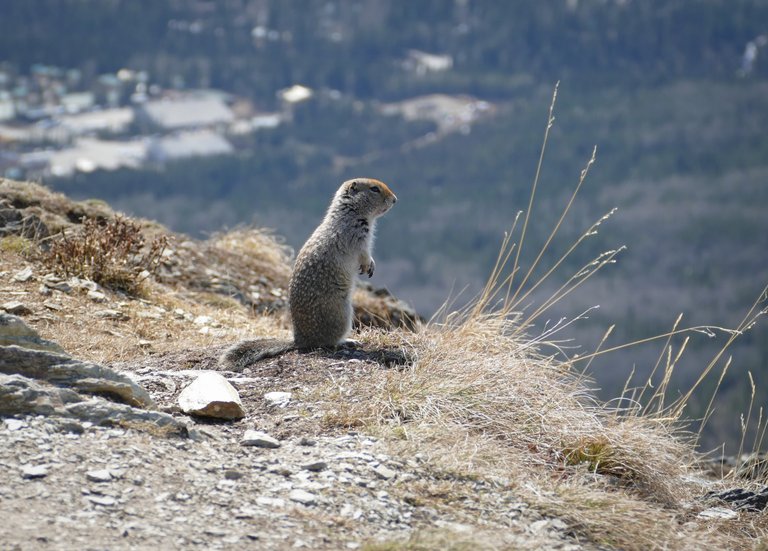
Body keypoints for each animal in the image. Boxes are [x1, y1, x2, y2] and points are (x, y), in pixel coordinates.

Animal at [218, 179, 392, 374]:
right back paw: (347, 341)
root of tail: (299, 340)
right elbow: (364, 254)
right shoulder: (358, 237)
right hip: (342, 313)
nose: (395, 199)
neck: (349, 214)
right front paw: (368, 266)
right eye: (374, 189)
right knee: (328, 342)